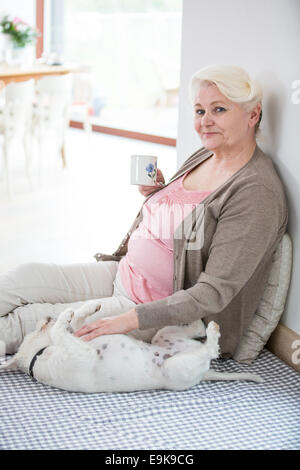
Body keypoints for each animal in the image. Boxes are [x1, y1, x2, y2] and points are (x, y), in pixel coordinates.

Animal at [0, 300, 262, 392]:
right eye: (37, 328)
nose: (46, 316)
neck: (42, 355)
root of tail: (206, 374)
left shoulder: (81, 338)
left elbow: (79, 323)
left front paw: (88, 308)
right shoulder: (82, 352)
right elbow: (61, 330)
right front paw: (65, 315)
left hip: (163, 336)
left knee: (195, 331)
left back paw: (199, 320)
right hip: (177, 367)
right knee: (209, 350)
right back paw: (212, 332)